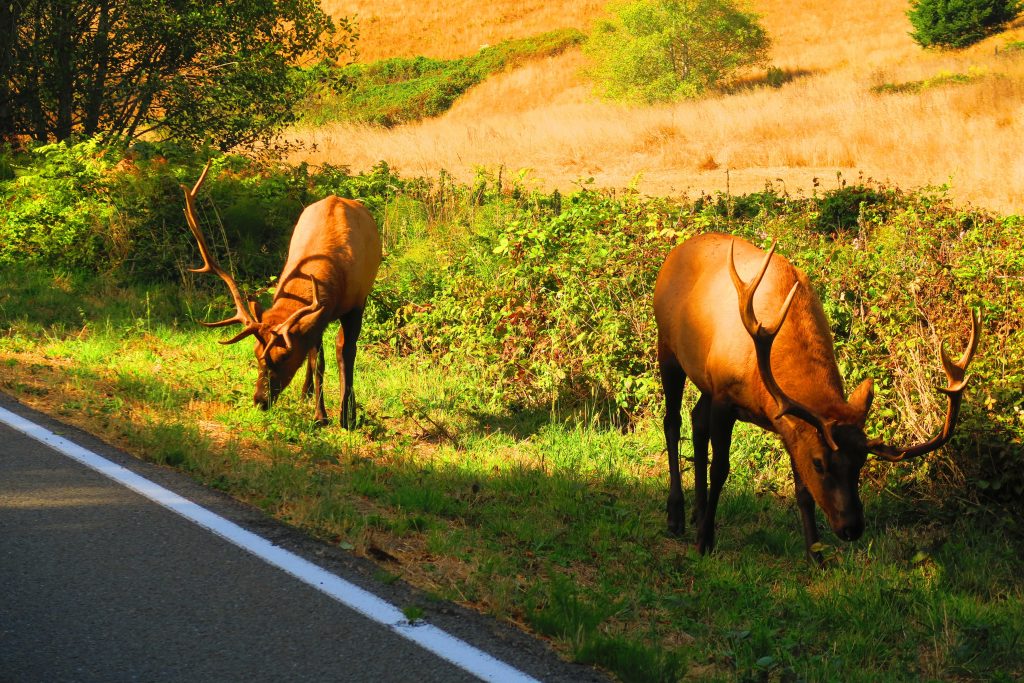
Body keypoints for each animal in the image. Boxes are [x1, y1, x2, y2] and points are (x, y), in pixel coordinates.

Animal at [182, 161, 382, 428]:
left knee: (340, 348)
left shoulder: (357, 304)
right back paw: (306, 393)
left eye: (285, 356)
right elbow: (317, 361)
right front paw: (320, 415)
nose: (260, 400)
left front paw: (347, 415)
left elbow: (346, 352)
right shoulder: (314, 318)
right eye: (256, 354)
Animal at [651, 232, 978, 565]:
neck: (761, 380)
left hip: (701, 378)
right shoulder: (724, 396)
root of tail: (674, 253)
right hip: (668, 346)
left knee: (696, 420)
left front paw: (815, 555)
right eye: (820, 463)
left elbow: (803, 491)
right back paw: (676, 515)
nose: (852, 528)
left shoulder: (788, 425)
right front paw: (704, 541)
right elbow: (720, 469)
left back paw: (698, 510)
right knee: (673, 421)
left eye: (860, 462)